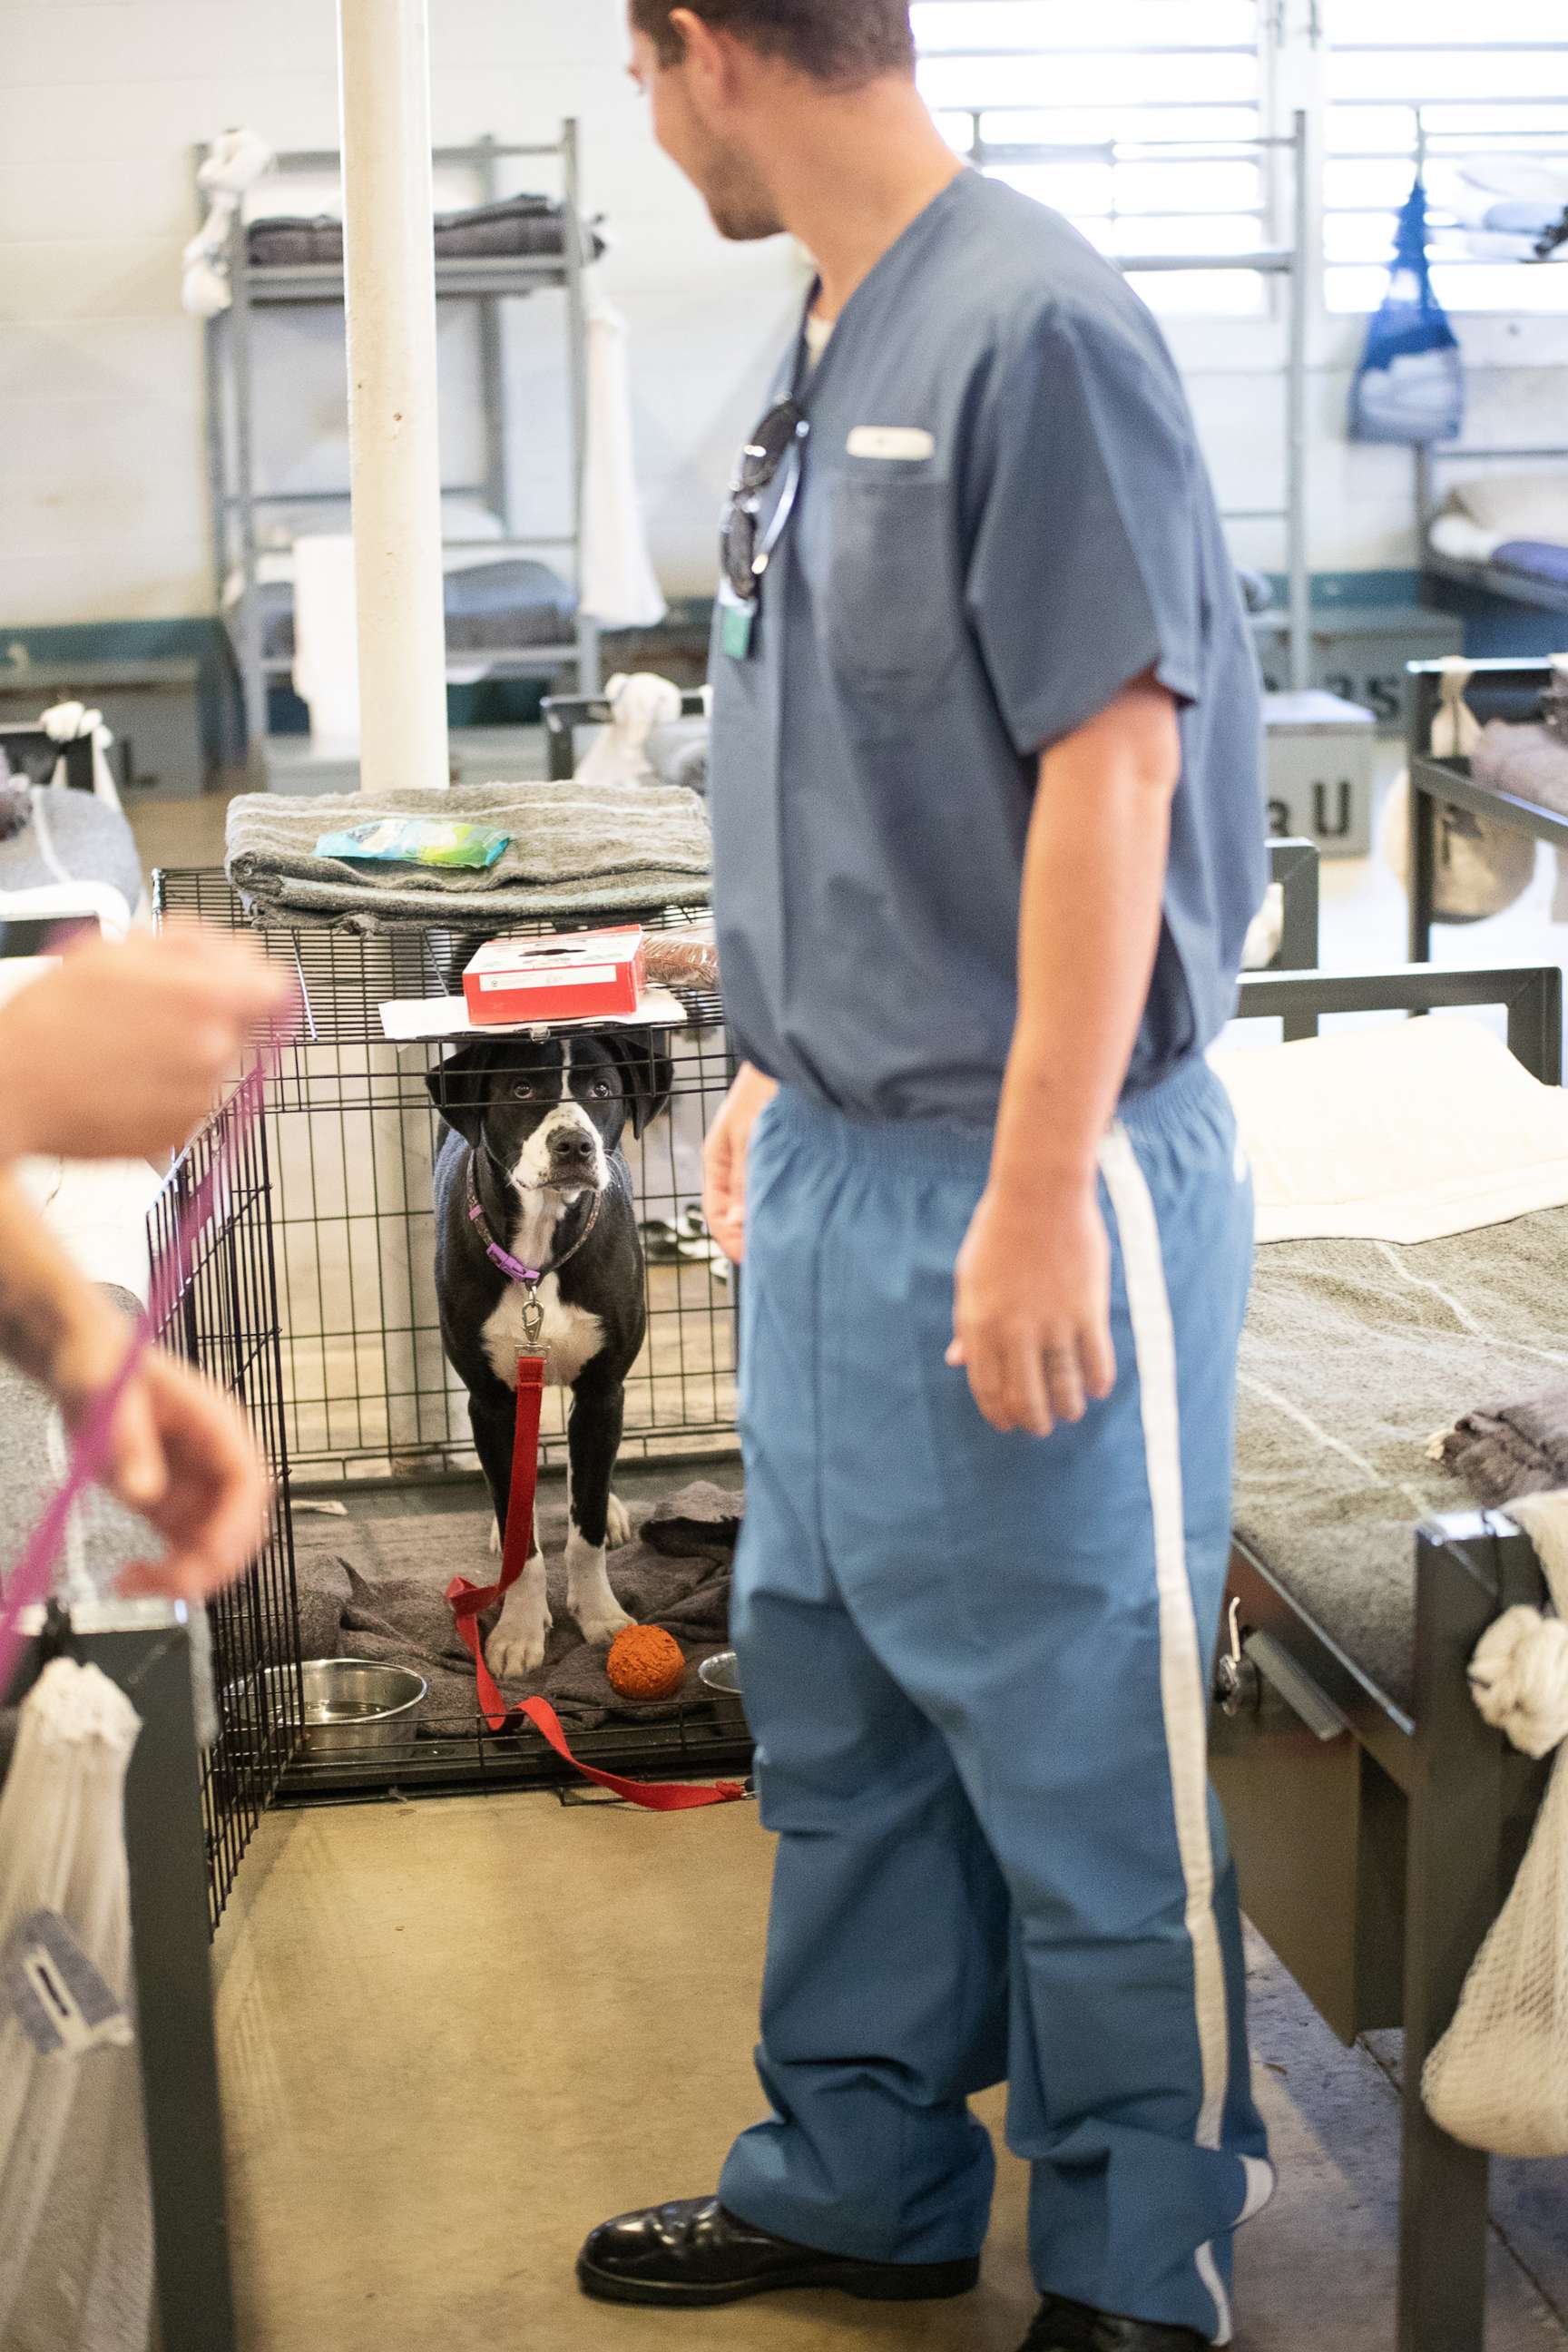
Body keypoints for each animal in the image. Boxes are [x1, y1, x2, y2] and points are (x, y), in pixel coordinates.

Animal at [430, 1030, 677, 1674]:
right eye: (521, 1089)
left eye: (602, 1090)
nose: (574, 1144)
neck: (542, 1251)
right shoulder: (492, 1401)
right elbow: (522, 1537)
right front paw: (517, 1631)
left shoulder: (602, 1391)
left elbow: (583, 1525)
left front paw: (600, 1616)